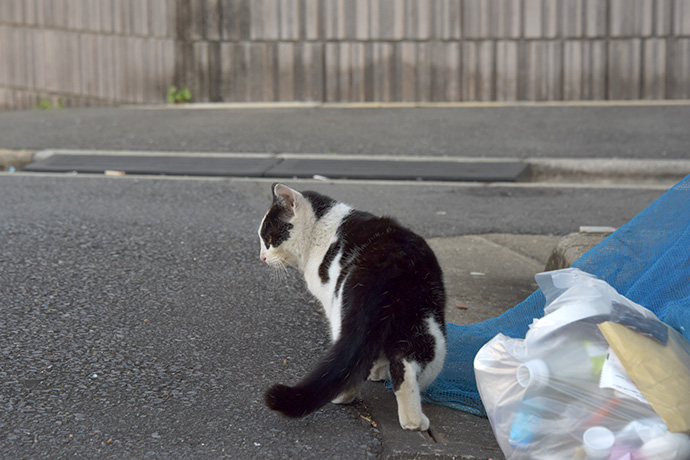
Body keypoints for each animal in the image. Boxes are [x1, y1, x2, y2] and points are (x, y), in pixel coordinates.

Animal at [258, 183, 446, 432]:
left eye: (269, 238)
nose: (261, 257)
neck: (320, 229)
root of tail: (394, 262)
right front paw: (380, 370)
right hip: (426, 326)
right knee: (405, 361)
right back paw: (414, 420)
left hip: (343, 311)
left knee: (354, 364)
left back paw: (343, 396)